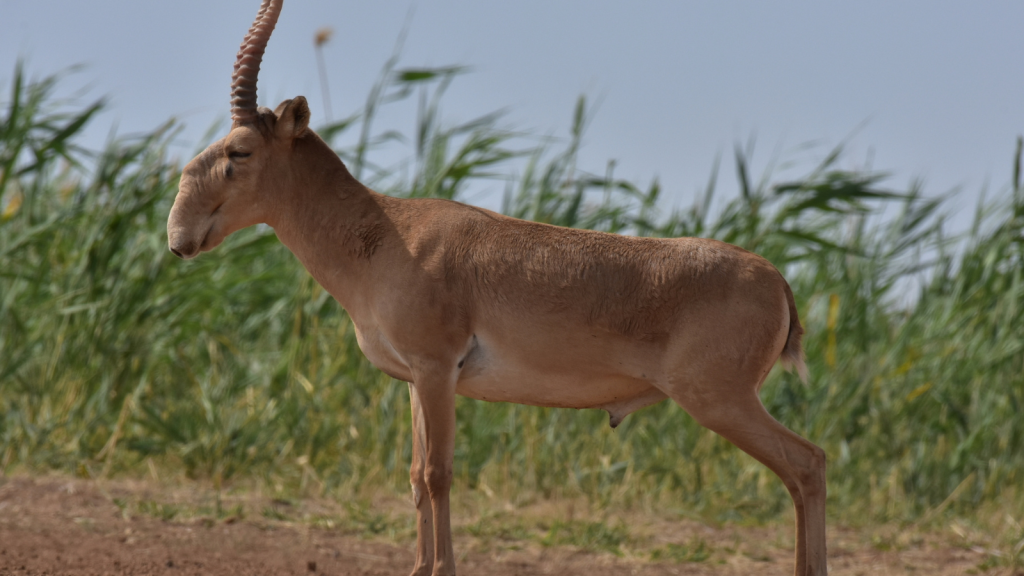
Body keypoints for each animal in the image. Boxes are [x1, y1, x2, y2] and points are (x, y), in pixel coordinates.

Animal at [165, 2, 823, 569]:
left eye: (239, 150)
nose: (178, 236)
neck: (388, 232)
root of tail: (776, 280)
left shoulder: (438, 369)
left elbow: (439, 474)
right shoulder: (416, 379)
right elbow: (415, 476)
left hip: (720, 400)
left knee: (809, 463)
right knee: (801, 472)